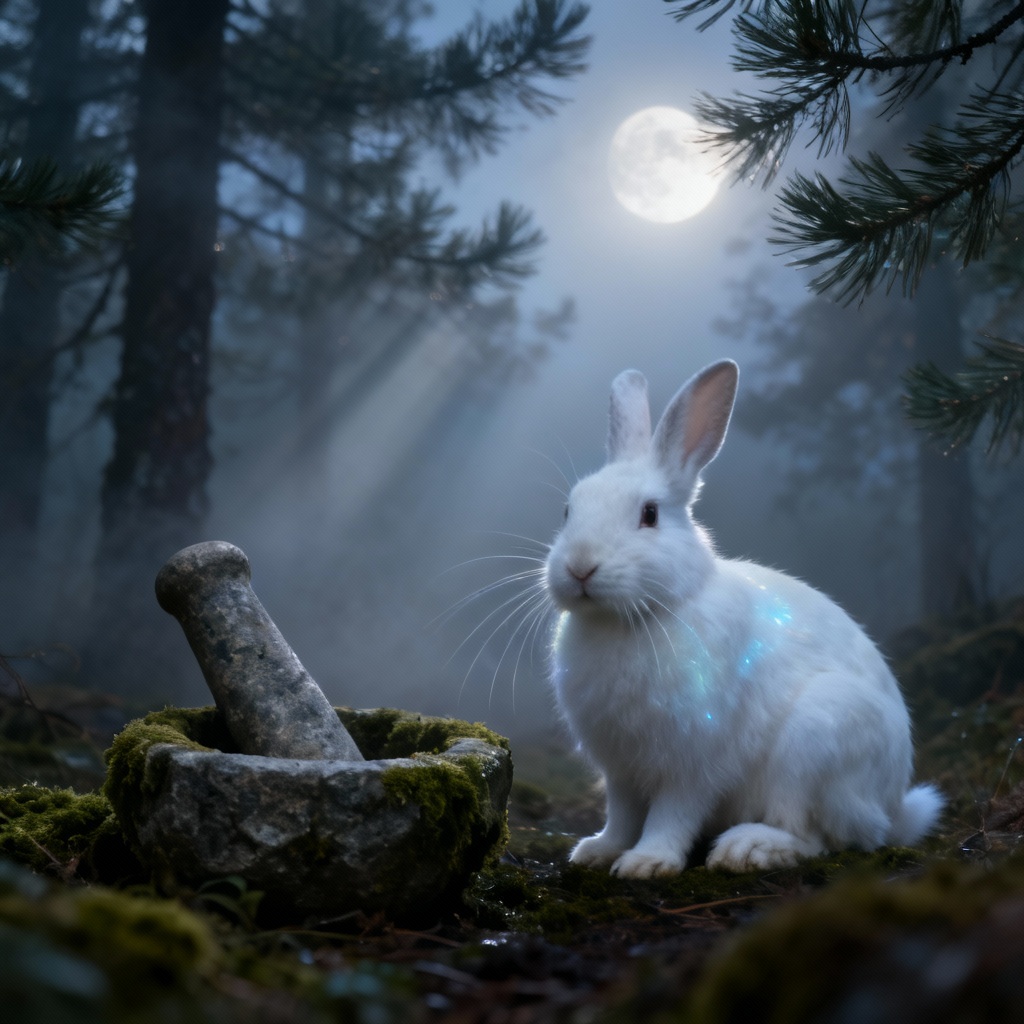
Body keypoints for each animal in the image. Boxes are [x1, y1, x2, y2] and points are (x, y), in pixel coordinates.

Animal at [544, 359, 943, 877]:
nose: (579, 567)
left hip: (817, 742)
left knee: (817, 837)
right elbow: (622, 813)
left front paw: (647, 863)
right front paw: (599, 851)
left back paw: (748, 849)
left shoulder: (694, 759)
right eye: (568, 509)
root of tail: (892, 809)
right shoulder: (621, 769)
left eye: (649, 514)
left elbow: (673, 812)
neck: (641, 615)